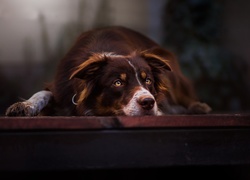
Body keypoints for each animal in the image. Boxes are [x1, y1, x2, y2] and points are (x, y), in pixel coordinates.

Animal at [5, 26, 211, 116]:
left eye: (148, 81)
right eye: (117, 83)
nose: (148, 103)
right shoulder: (60, 85)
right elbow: (42, 93)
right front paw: (25, 106)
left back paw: (196, 107)